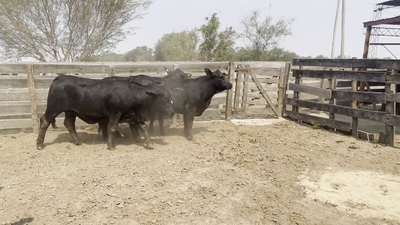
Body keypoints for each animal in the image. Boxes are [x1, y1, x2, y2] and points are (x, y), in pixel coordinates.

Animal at [36, 74, 174, 150]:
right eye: (165, 99)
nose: (172, 113)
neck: (132, 93)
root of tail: (60, 77)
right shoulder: (115, 113)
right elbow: (112, 128)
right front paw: (111, 145)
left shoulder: (135, 115)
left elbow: (143, 128)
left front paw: (149, 143)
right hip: (53, 108)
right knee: (44, 121)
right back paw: (40, 144)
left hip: (70, 111)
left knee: (69, 124)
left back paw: (78, 141)